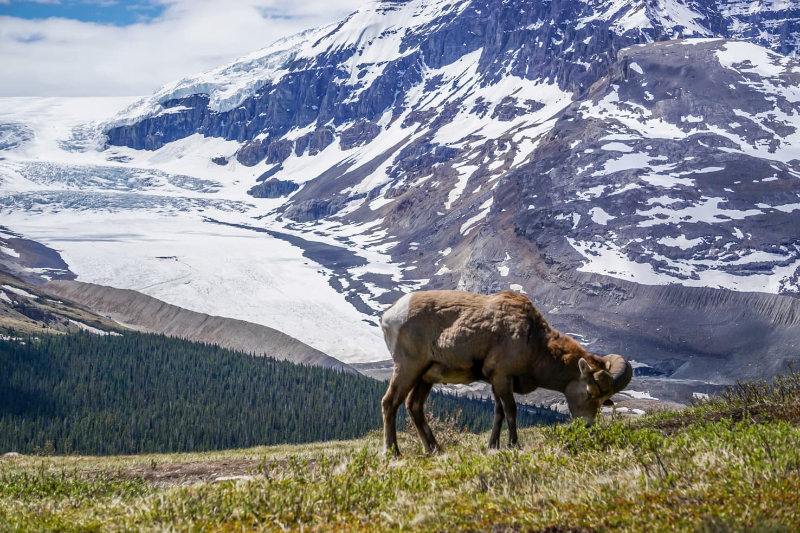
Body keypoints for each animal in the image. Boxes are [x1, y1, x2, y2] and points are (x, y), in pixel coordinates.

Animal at [380, 290, 632, 454]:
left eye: (604, 401)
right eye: (589, 393)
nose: (587, 426)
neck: (534, 340)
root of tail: (390, 315)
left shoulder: (496, 381)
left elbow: (498, 412)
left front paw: (493, 446)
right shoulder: (503, 377)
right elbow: (511, 410)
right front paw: (513, 445)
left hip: (425, 377)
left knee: (414, 407)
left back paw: (434, 449)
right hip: (408, 368)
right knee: (390, 402)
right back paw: (393, 452)